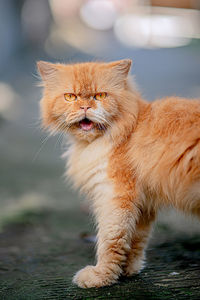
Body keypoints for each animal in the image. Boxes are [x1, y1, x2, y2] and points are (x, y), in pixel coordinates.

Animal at [37, 59, 200, 288]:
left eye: (100, 96)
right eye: (70, 97)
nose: (85, 107)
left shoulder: (115, 195)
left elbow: (110, 241)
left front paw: (101, 277)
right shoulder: (143, 204)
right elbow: (135, 242)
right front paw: (128, 271)